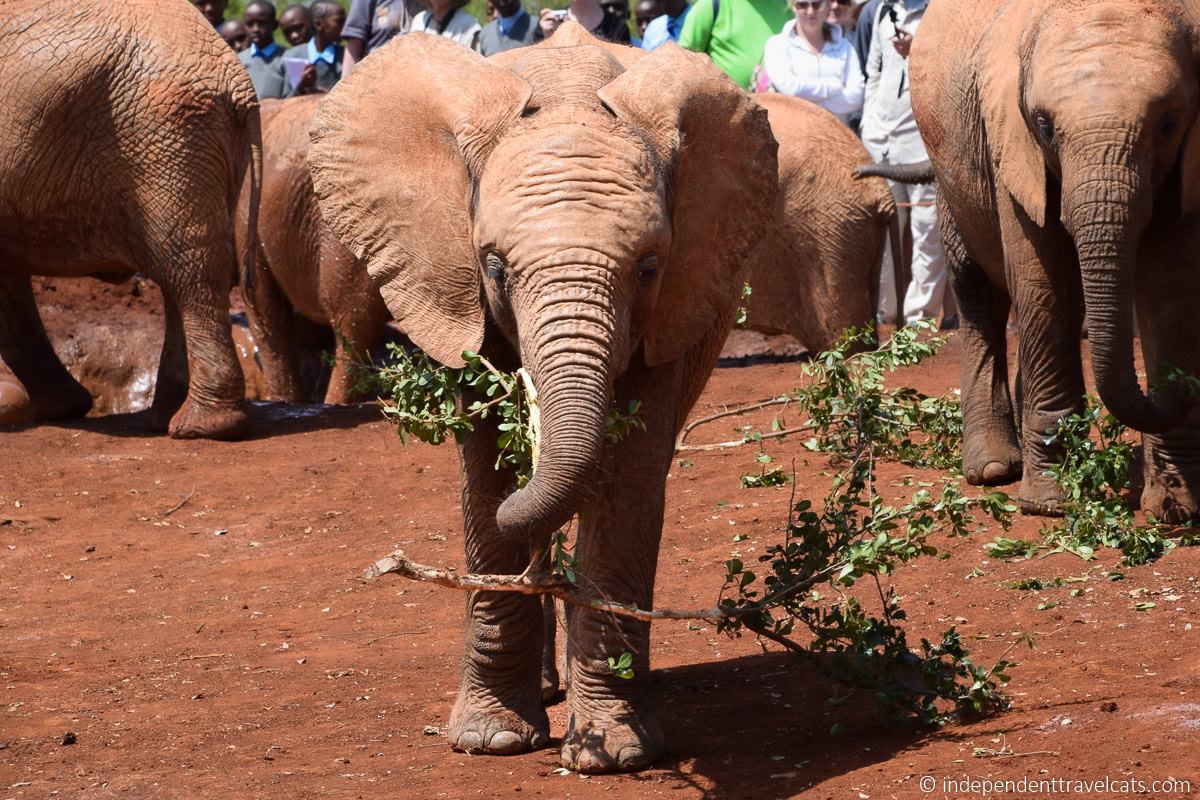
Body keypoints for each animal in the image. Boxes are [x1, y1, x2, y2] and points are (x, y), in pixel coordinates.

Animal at [0, 0, 258, 438]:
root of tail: (237, 80)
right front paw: (61, 410)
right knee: (181, 273)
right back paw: (162, 417)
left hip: (165, 134)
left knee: (190, 270)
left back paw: (198, 427)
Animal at [309, 28, 777, 772]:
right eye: (495, 266)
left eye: (649, 267)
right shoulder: (456, 286)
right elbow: (486, 468)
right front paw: (491, 740)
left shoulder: (675, 303)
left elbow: (628, 479)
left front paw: (614, 753)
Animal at [873, 0, 1200, 520]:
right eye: (1044, 126)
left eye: (1169, 123)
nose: (1182, 387)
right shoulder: (1011, 142)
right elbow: (1046, 284)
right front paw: (1050, 504)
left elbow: (1171, 282)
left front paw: (1173, 508)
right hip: (952, 177)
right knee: (980, 295)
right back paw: (992, 469)